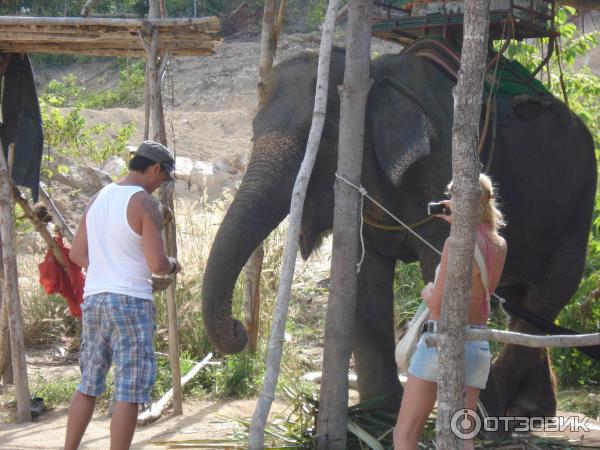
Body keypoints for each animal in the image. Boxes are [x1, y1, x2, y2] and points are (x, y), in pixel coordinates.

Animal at [202, 45, 596, 418]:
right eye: (253, 131)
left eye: (325, 138)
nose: (238, 329)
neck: (376, 76)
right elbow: (366, 280)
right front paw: (378, 413)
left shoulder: (443, 167)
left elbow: (444, 266)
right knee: (524, 301)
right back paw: (527, 410)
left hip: (579, 202)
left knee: (549, 294)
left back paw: (510, 408)